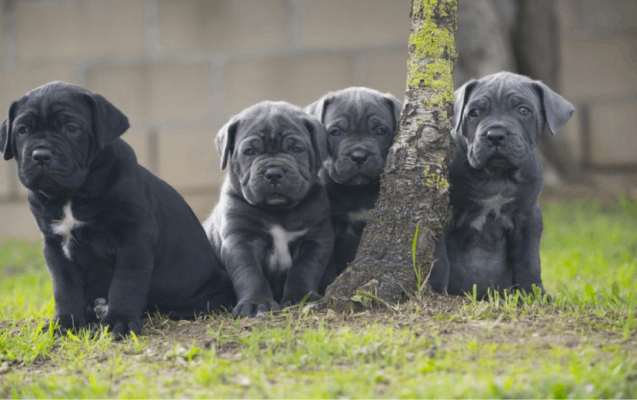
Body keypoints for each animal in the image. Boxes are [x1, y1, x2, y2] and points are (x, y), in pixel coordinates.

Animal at [0, 81, 234, 338]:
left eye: (72, 128)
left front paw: (116, 323)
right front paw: (65, 324)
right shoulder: (55, 245)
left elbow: (125, 284)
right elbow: (64, 288)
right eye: (22, 130)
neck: (72, 194)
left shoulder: (132, 241)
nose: (40, 155)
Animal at [202, 101, 332, 318]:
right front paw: (255, 304)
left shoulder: (314, 239)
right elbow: (250, 273)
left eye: (297, 149)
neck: (278, 212)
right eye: (249, 151)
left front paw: (301, 296)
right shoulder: (241, 239)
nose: (274, 173)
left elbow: (304, 270)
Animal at [304, 86, 402, 290]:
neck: (356, 191)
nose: (358, 155)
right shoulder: (329, 227)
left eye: (381, 131)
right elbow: (327, 263)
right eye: (335, 132)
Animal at [430, 71, 572, 296]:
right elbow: (440, 260)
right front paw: (437, 294)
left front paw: (534, 295)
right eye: (474, 112)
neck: (496, 176)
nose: (495, 135)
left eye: (524, 110)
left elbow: (529, 261)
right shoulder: (441, 212)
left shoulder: (528, 217)